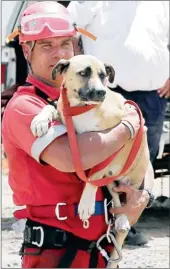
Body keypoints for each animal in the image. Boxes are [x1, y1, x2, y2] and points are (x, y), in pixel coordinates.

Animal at [30, 55, 153, 268]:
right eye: (83, 73)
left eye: (103, 75)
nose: (101, 92)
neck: (81, 108)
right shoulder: (63, 113)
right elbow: (50, 106)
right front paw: (39, 121)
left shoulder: (118, 137)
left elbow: (95, 174)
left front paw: (86, 203)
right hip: (114, 183)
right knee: (115, 195)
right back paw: (120, 218)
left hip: (132, 182)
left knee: (120, 229)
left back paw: (121, 226)